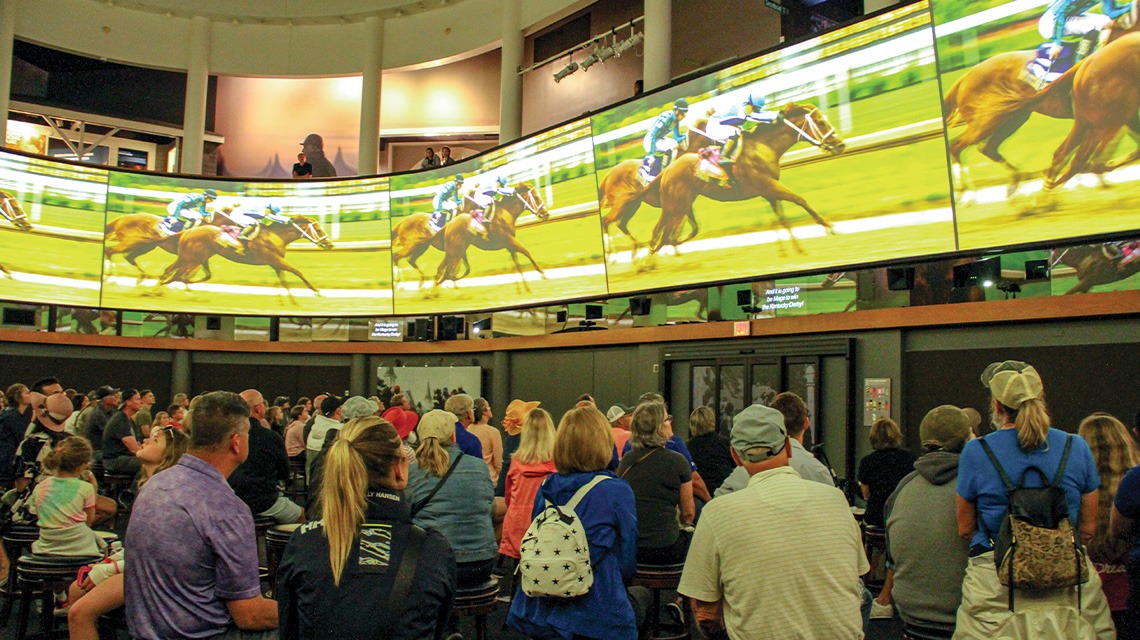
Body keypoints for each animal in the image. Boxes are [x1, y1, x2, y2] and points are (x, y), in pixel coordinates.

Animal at [151, 215, 332, 303]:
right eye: (318, 229)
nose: (330, 244)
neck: (276, 235)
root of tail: (188, 231)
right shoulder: (275, 260)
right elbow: (297, 271)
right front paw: (316, 291)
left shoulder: (275, 263)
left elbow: (284, 280)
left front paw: (293, 301)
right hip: (192, 259)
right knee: (178, 275)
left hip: (190, 258)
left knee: (174, 273)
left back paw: (158, 290)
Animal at [642, 102, 848, 254]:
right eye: (821, 122)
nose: (841, 145)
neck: (764, 147)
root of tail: (668, 168)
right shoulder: (769, 185)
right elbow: (800, 199)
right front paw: (828, 226)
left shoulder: (768, 192)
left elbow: (782, 218)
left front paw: (796, 249)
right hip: (677, 204)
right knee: (665, 234)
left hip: (679, 204)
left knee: (663, 233)